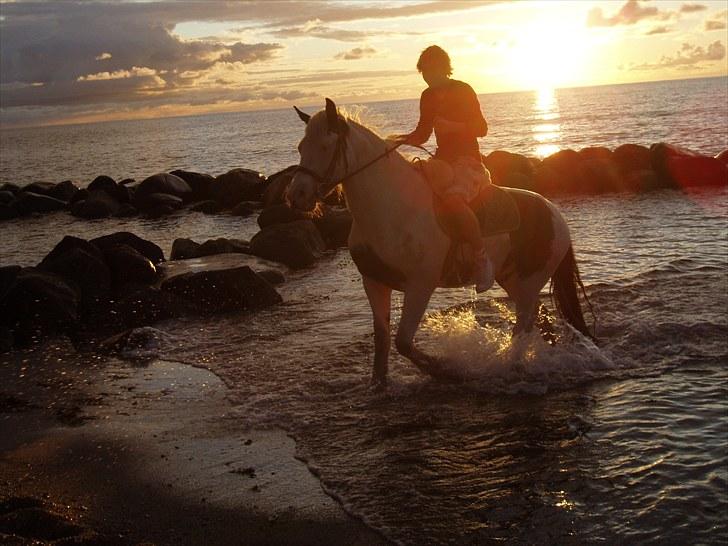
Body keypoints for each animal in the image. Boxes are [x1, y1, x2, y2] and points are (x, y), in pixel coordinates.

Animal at [286, 99, 592, 386]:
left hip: (529, 283)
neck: (392, 207)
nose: (296, 195)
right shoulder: (374, 282)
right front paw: (378, 386)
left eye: (326, 146)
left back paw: (512, 367)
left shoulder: (420, 285)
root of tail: (553, 212)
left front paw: (446, 370)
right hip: (514, 280)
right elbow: (382, 341)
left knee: (524, 327)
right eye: (301, 146)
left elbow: (403, 342)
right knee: (539, 319)